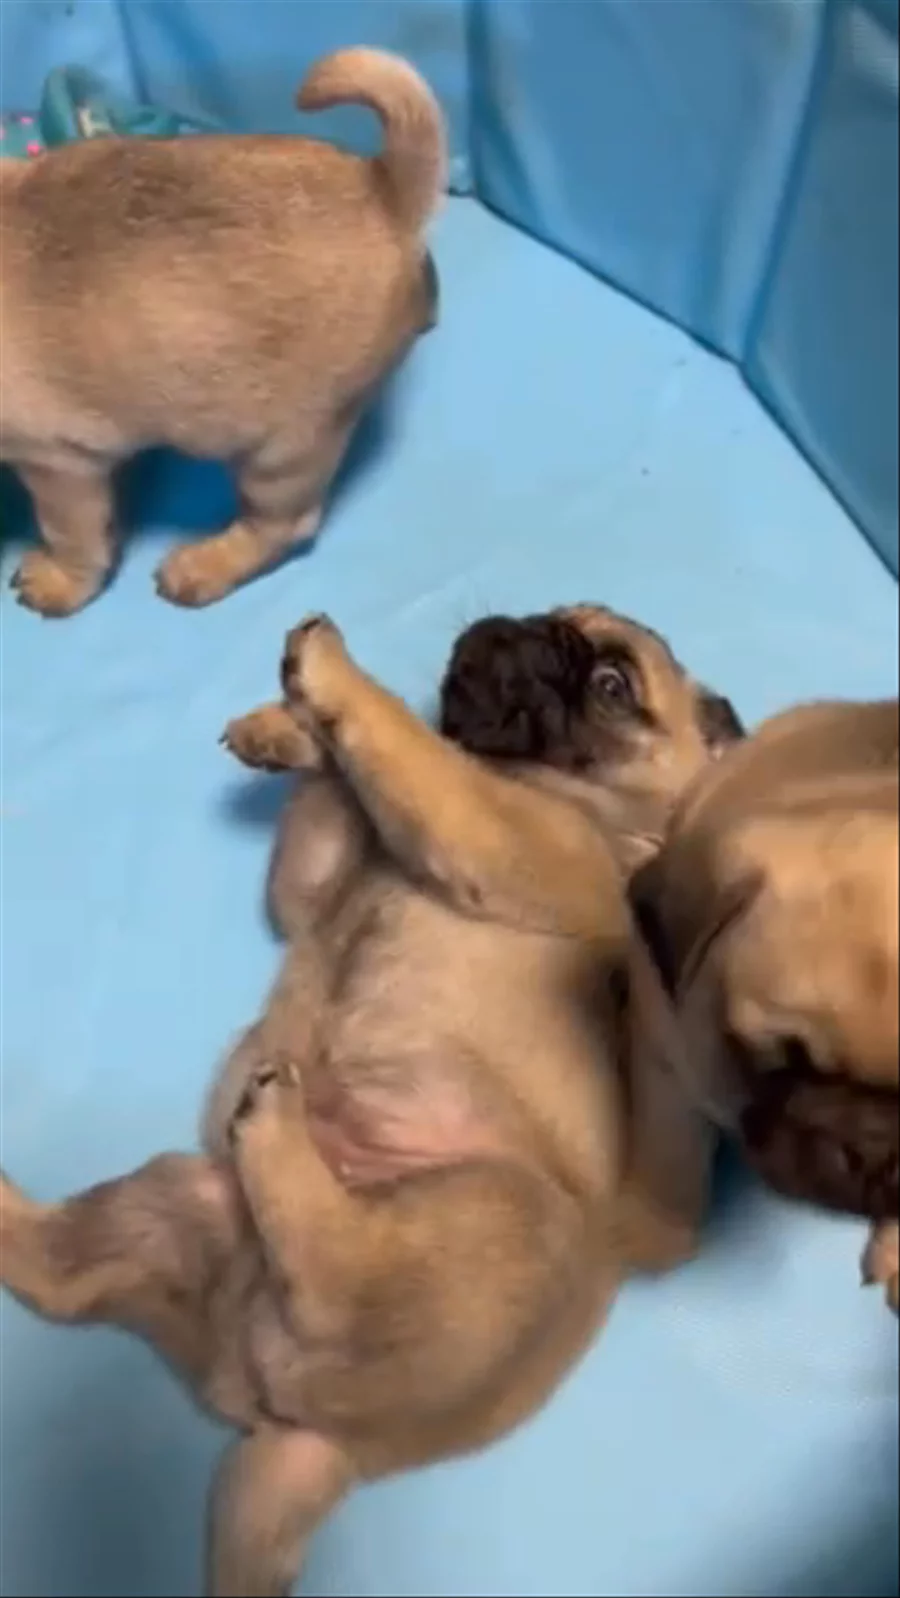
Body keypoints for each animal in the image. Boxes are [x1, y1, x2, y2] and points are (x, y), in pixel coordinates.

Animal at [0, 48, 444, 616]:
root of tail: (385, 191)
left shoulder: (56, 464)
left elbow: (72, 536)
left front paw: (61, 581)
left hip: (280, 454)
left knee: (282, 526)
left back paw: (206, 564)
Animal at [0, 606, 742, 1594]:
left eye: (613, 687)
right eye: (550, 617)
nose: (513, 634)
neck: (560, 792)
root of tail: (335, 1445)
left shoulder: (493, 827)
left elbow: (405, 747)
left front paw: (330, 679)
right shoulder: (319, 875)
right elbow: (343, 798)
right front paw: (285, 731)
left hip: (501, 1211)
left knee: (332, 1277)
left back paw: (276, 1135)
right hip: (178, 1204)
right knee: (58, 1276)